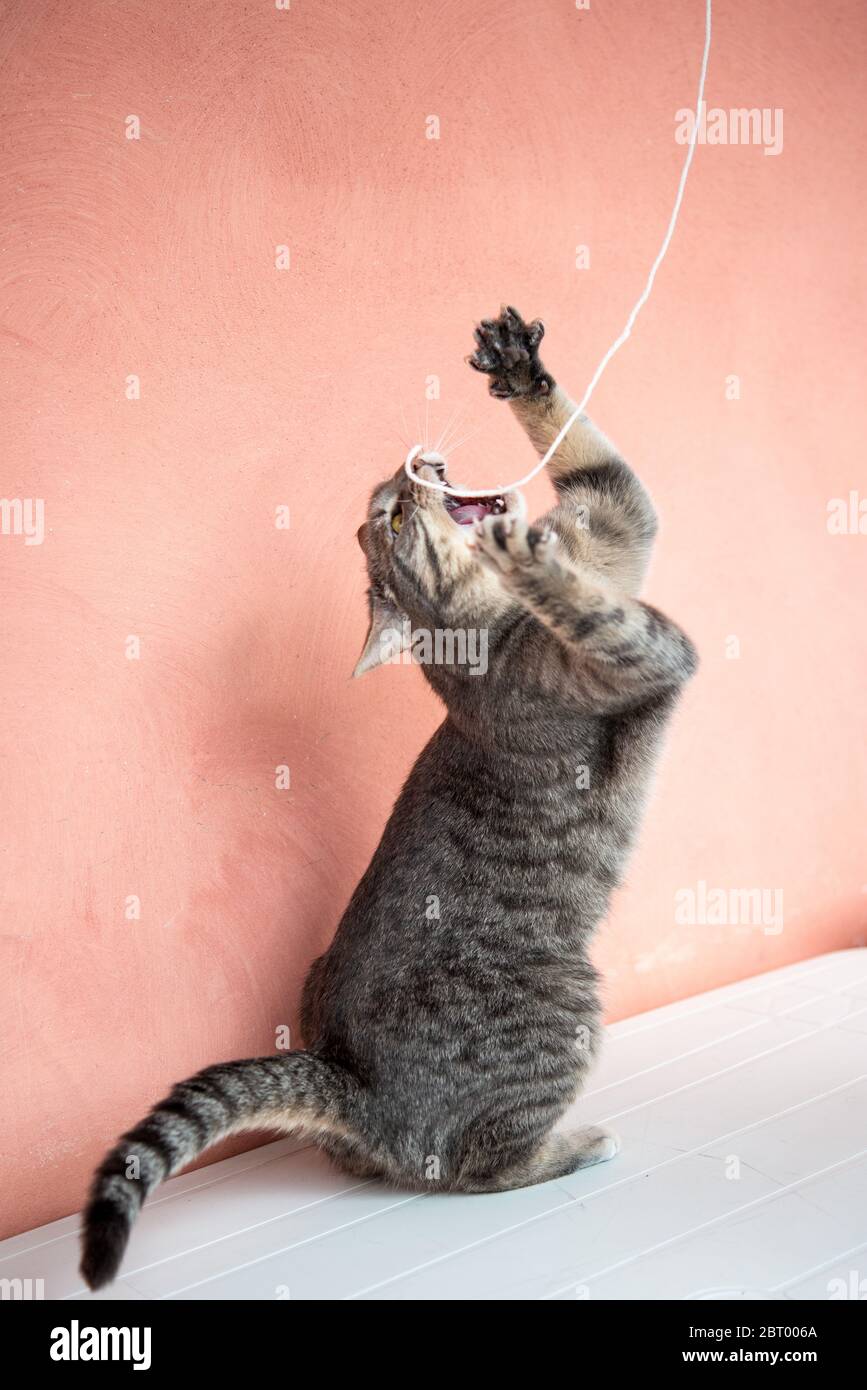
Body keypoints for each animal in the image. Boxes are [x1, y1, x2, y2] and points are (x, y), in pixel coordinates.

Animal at [77, 307, 694, 1289]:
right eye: (396, 517)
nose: (410, 472)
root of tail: (353, 1084)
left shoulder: (614, 524)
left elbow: (597, 466)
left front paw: (518, 367)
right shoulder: (639, 657)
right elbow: (609, 616)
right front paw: (530, 566)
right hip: (565, 1002)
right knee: (476, 1167)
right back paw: (576, 1143)